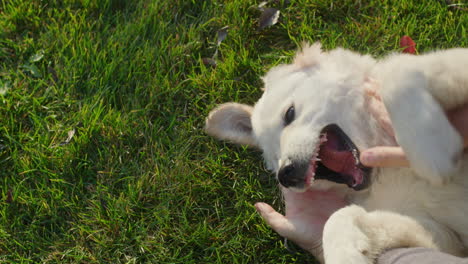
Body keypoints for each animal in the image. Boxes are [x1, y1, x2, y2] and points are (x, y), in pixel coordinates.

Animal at [207, 43, 468, 264]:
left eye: (289, 114)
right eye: (273, 157)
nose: (286, 174)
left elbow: (398, 70)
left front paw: (428, 143)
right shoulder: (444, 236)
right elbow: (338, 218)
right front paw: (346, 253)